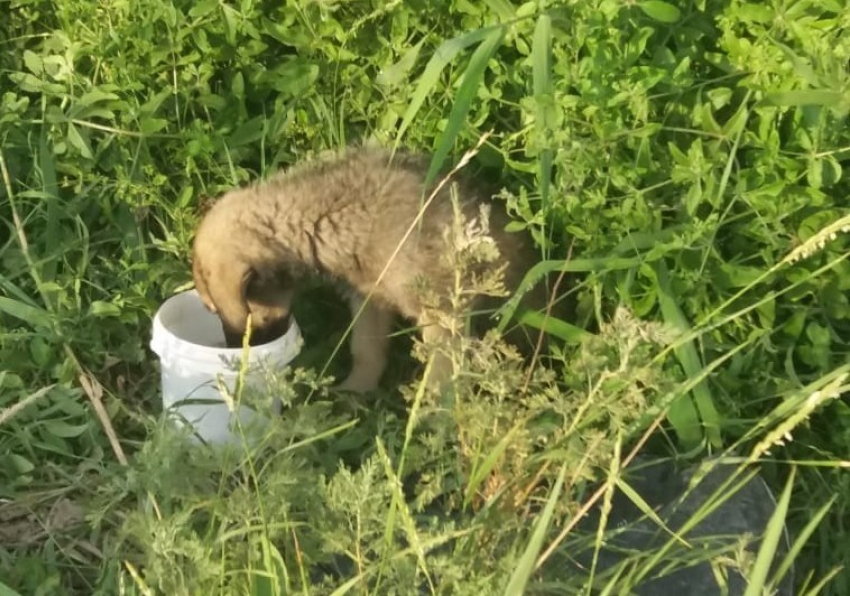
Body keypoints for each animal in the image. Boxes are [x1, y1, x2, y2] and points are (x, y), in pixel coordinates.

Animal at [191, 147, 540, 394]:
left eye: (216, 309)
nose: (233, 353)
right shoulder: (369, 299)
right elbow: (366, 350)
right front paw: (355, 392)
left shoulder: (442, 312)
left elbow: (441, 371)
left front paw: (431, 416)